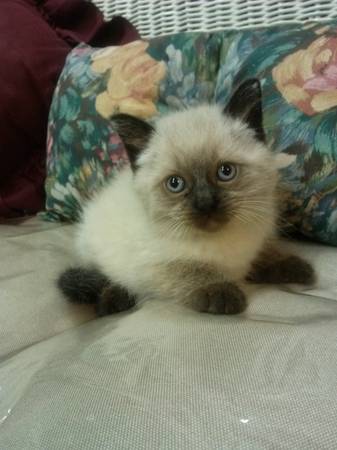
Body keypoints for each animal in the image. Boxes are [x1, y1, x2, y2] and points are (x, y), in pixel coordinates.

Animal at [58, 78, 316, 316]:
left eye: (225, 172)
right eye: (175, 184)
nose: (205, 204)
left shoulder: (256, 240)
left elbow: (266, 254)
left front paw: (294, 268)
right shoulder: (155, 266)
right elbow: (191, 269)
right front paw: (221, 292)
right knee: (103, 277)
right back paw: (111, 302)